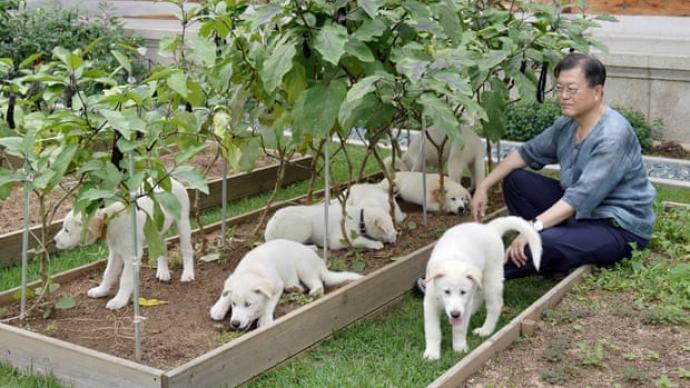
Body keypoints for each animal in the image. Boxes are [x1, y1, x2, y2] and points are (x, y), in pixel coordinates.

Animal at [52, 178, 194, 310]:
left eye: (66, 230)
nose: (54, 240)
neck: (109, 221)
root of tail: (171, 180)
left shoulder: (131, 256)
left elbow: (125, 280)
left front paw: (119, 300)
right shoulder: (115, 253)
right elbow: (108, 273)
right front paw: (101, 290)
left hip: (182, 223)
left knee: (187, 250)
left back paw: (187, 274)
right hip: (156, 230)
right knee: (162, 248)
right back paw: (163, 272)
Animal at [208, 239, 360, 330]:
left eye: (248, 304)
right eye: (234, 304)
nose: (235, 323)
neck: (252, 270)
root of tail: (319, 261)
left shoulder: (277, 286)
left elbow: (269, 304)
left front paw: (265, 320)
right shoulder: (233, 279)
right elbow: (226, 293)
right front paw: (218, 308)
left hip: (304, 267)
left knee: (317, 283)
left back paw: (313, 291)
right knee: (303, 286)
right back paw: (294, 288)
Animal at [264, 202, 396, 250]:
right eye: (386, 229)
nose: (397, 234)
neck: (360, 217)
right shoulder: (340, 239)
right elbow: (360, 240)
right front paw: (375, 244)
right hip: (304, 225)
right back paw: (311, 247)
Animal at [422, 217, 540, 360]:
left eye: (463, 292)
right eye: (446, 292)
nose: (455, 314)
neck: (453, 259)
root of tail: (490, 228)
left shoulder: (465, 303)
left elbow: (459, 329)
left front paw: (459, 347)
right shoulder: (430, 303)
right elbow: (432, 330)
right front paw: (432, 353)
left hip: (491, 278)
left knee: (494, 305)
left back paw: (485, 330)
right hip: (479, 280)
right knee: (478, 296)